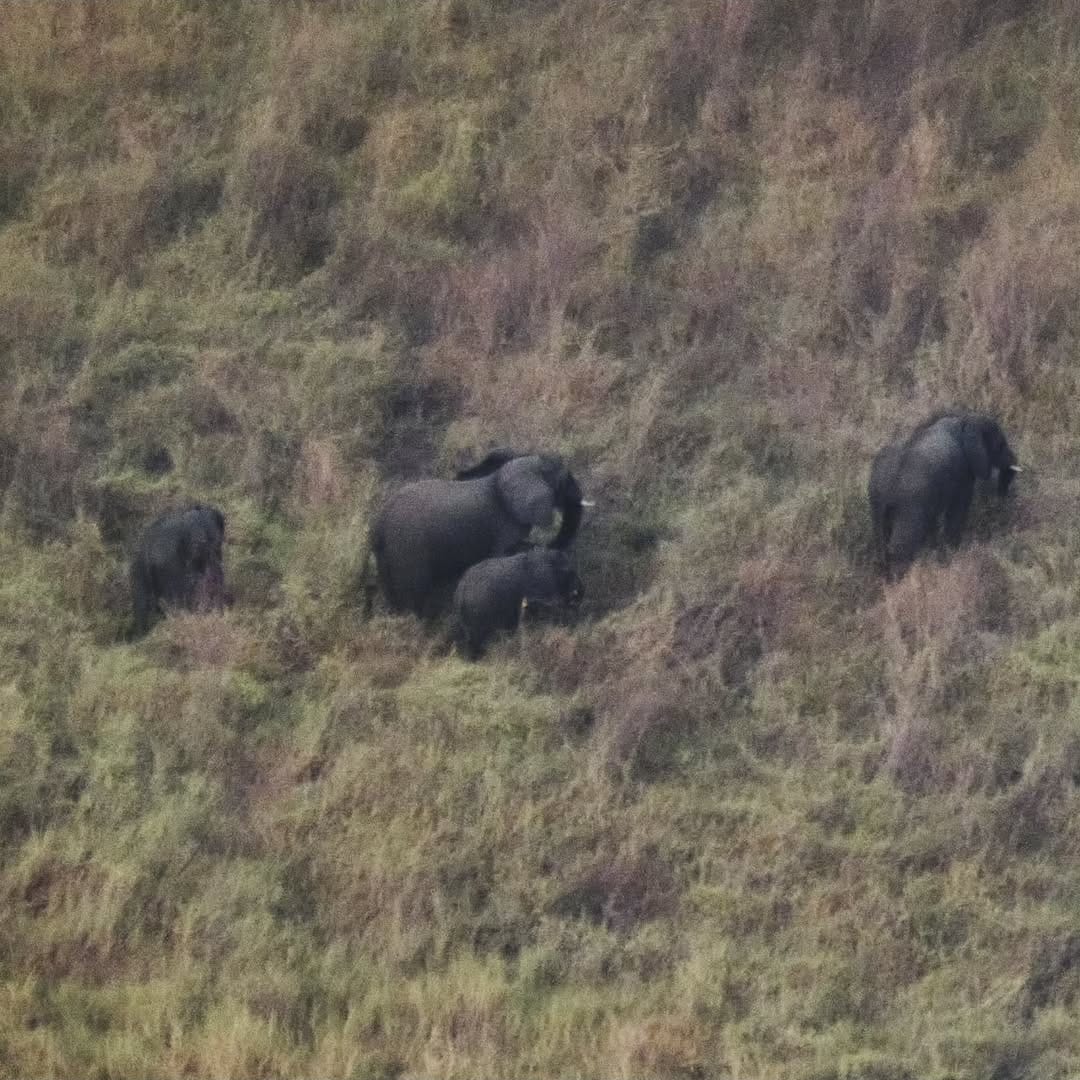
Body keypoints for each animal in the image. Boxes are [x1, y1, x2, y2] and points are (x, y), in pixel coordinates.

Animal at [369, 449, 585, 617]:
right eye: (562, 481)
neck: (501, 476)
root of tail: (378, 527)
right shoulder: (502, 527)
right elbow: (503, 553)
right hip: (408, 551)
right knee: (414, 596)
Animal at [868, 409, 1020, 577]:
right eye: (1000, 445)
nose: (1002, 498)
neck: (964, 420)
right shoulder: (963, 472)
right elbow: (959, 508)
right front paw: (952, 553)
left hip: (876, 500)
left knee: (881, 540)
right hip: (909, 504)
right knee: (900, 545)